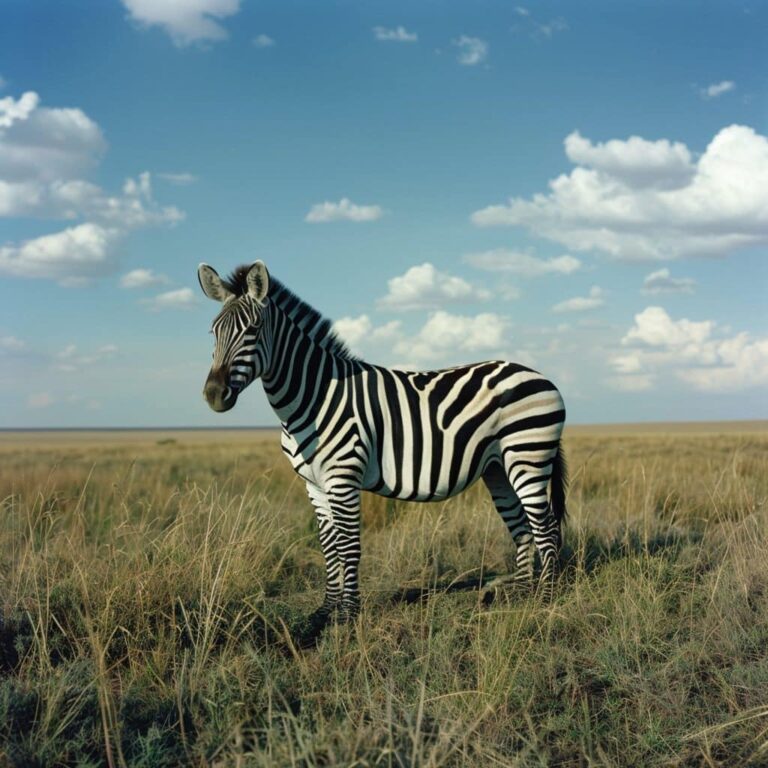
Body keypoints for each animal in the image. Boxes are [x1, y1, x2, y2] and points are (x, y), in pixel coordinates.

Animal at [198, 260, 568, 625]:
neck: (312, 398)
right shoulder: (314, 484)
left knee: (546, 529)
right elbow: (328, 546)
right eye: (213, 332)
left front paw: (348, 614)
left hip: (528, 457)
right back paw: (520, 596)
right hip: (498, 468)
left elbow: (349, 546)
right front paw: (325, 610)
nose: (214, 395)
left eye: (253, 329)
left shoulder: (343, 477)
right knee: (522, 528)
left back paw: (545, 604)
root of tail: (539, 375)